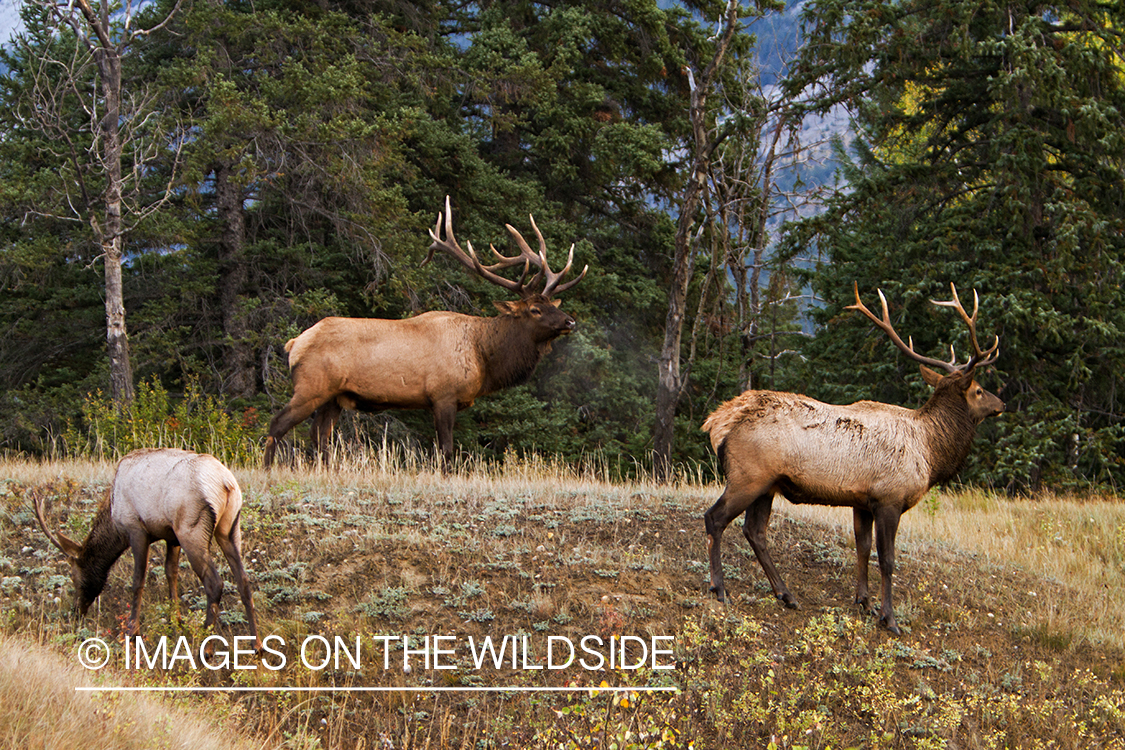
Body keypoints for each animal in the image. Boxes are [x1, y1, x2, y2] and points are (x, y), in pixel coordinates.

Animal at [31, 445, 261, 652]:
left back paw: (207, 649)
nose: (76, 611)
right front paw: (176, 620)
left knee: (214, 582)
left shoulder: (136, 529)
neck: (114, 522)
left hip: (191, 529)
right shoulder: (171, 537)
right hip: (229, 528)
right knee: (243, 579)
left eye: (74, 576)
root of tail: (226, 483)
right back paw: (256, 644)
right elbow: (171, 574)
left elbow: (138, 580)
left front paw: (132, 631)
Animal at [258, 196, 585, 472]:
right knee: (278, 424)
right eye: (535, 310)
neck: (483, 356)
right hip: (311, 386)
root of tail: (294, 343)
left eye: (553, 304)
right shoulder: (443, 395)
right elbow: (446, 451)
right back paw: (268, 469)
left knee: (319, 435)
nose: (570, 321)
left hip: (334, 396)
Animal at [702, 284, 1003, 638]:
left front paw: (864, 602)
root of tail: (716, 422)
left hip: (767, 486)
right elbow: (887, 559)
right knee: (715, 518)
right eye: (980, 390)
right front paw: (890, 619)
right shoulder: (889, 498)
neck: (931, 454)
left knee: (755, 531)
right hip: (747, 476)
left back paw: (786, 595)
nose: (1002, 403)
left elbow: (862, 548)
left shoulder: (863, 502)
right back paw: (720, 589)